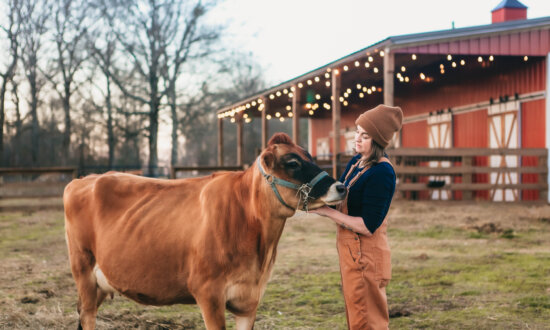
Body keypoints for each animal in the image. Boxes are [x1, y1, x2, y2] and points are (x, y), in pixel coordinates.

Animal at [64, 133, 348, 328]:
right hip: (83, 269)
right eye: (292, 163)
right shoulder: (208, 293)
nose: (341, 187)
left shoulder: (250, 299)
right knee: (87, 315)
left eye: (309, 156)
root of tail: (84, 179)